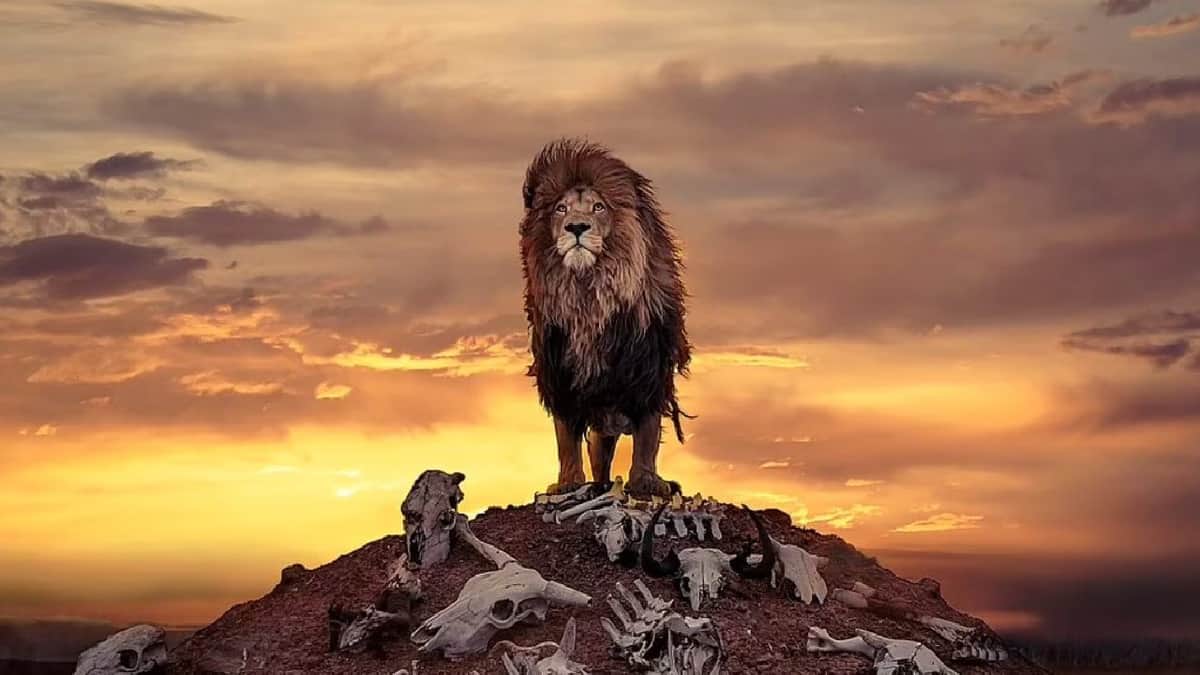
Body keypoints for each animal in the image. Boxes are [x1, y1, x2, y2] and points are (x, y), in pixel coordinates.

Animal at [519, 138, 692, 498]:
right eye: (561, 209)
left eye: (598, 207)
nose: (576, 227)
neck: (589, 293)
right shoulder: (560, 374)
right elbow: (566, 437)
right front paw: (567, 483)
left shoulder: (648, 369)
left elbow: (647, 434)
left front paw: (647, 482)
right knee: (598, 454)